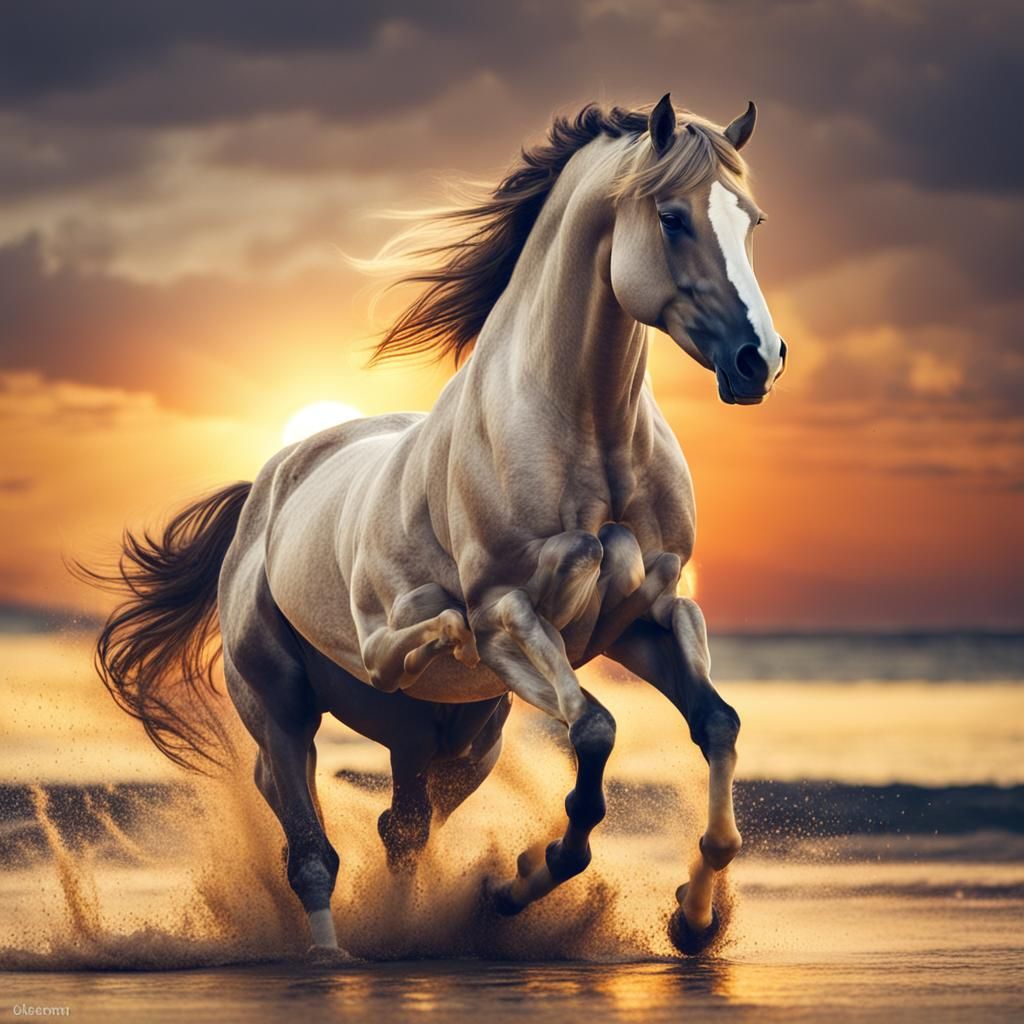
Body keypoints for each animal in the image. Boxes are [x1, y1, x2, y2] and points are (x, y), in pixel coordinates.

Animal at [81, 94, 786, 959]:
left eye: (750, 220)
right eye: (673, 216)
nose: (759, 360)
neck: (584, 439)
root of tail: (270, 482)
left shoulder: (645, 619)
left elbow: (717, 724)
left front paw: (689, 918)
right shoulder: (511, 618)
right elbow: (592, 732)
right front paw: (530, 872)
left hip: (451, 744)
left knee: (402, 828)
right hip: (282, 708)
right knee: (311, 849)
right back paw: (331, 951)